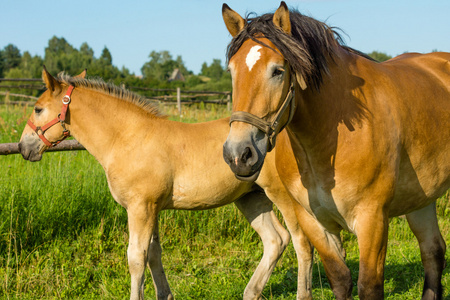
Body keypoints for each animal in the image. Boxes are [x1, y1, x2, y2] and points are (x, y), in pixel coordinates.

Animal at [18, 68, 316, 300]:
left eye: (38, 108)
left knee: (301, 242)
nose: (24, 147)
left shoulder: (140, 207)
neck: (127, 137)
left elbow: (136, 258)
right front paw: (166, 294)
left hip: (282, 195)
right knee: (275, 240)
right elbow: (153, 254)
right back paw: (250, 292)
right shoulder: (152, 209)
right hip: (251, 197)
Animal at [222, 2, 450, 300]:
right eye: (231, 70)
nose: (239, 154)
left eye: (278, 71)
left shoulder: (372, 220)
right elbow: (340, 279)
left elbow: (369, 286)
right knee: (433, 251)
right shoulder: (313, 220)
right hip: (421, 199)